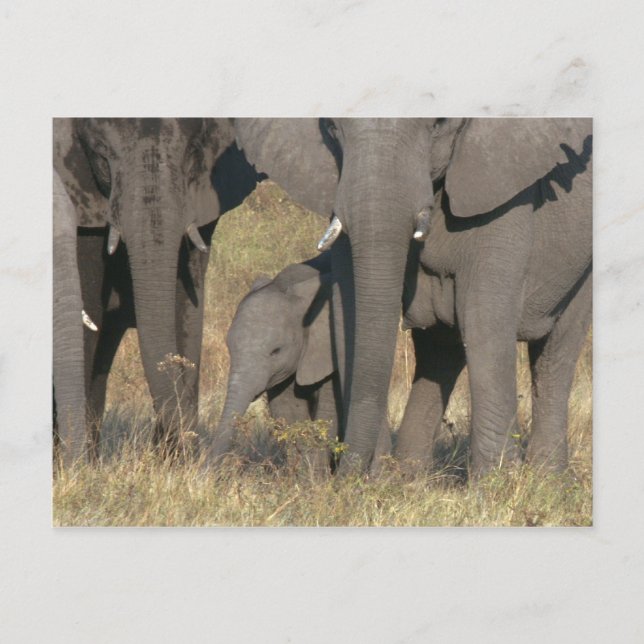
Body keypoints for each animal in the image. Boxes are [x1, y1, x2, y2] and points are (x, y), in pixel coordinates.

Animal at [209, 252, 342, 474]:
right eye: (230, 348)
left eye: (276, 351)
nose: (205, 474)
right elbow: (289, 412)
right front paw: (306, 476)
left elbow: (330, 413)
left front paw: (315, 478)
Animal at [235, 118, 592, 476]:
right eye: (333, 127)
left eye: (438, 124)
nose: (351, 474)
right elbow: (348, 316)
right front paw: (381, 479)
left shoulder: (503, 193)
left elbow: (483, 323)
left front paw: (497, 483)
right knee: (439, 353)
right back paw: (411, 477)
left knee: (555, 353)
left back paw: (546, 477)